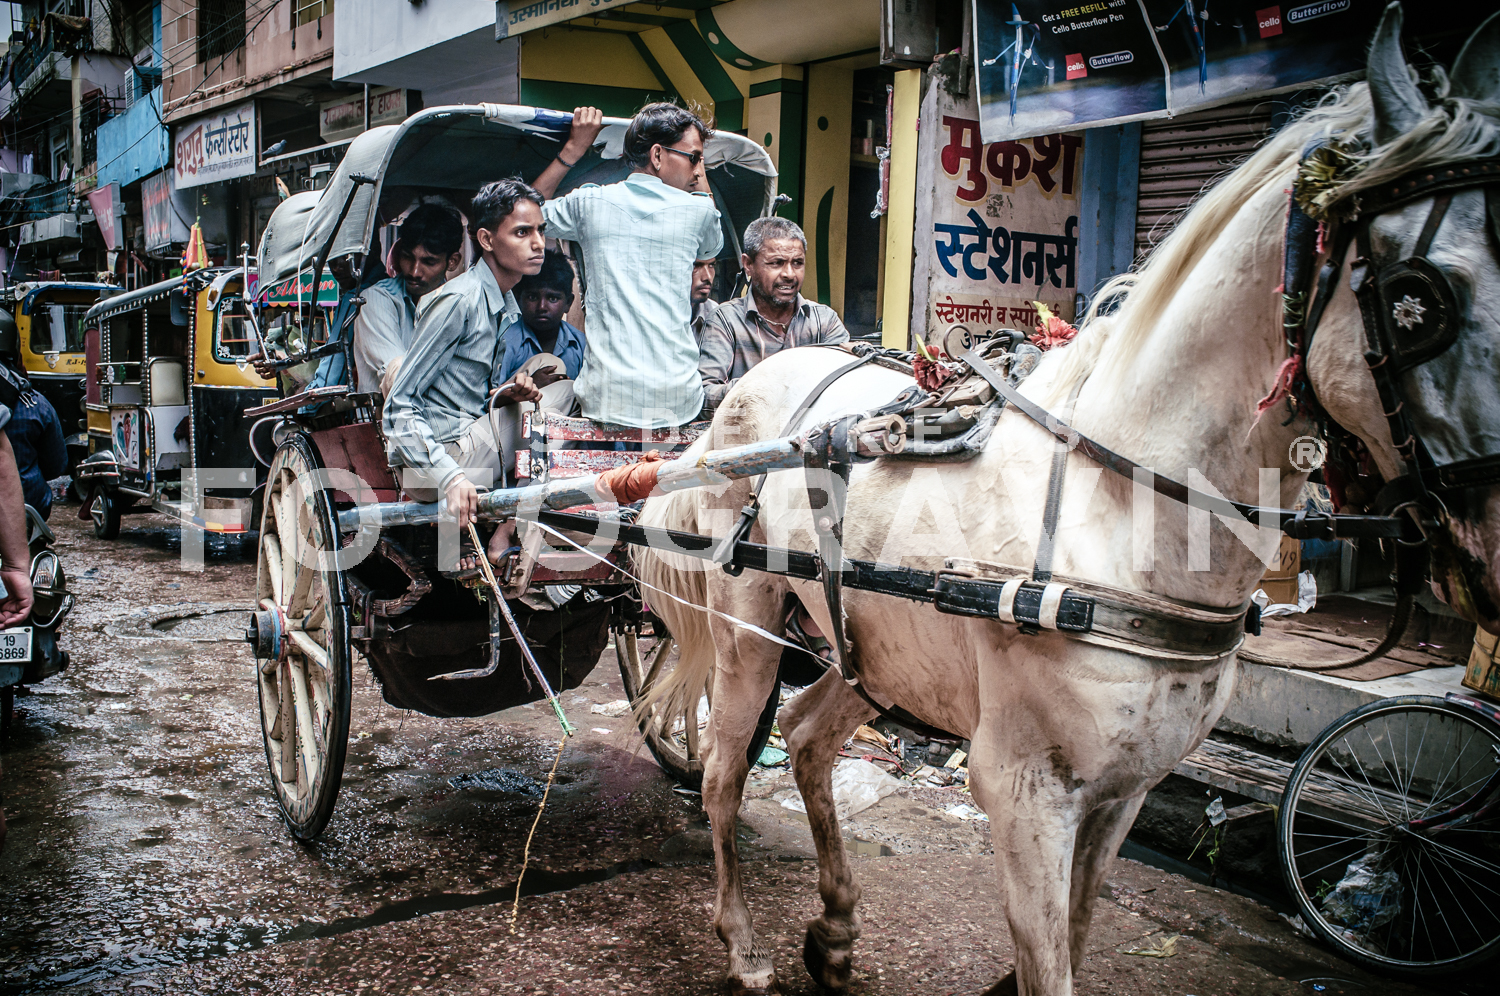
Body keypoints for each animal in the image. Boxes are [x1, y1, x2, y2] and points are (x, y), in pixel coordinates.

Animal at [635, 6, 1500, 994]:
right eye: (1416, 298)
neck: (1127, 511)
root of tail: (738, 400)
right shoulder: (1022, 787)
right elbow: (1049, 954)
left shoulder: (1126, 786)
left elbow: (1079, 931)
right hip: (747, 622)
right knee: (723, 768)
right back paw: (743, 943)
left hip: (884, 652)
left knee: (810, 733)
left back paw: (838, 930)